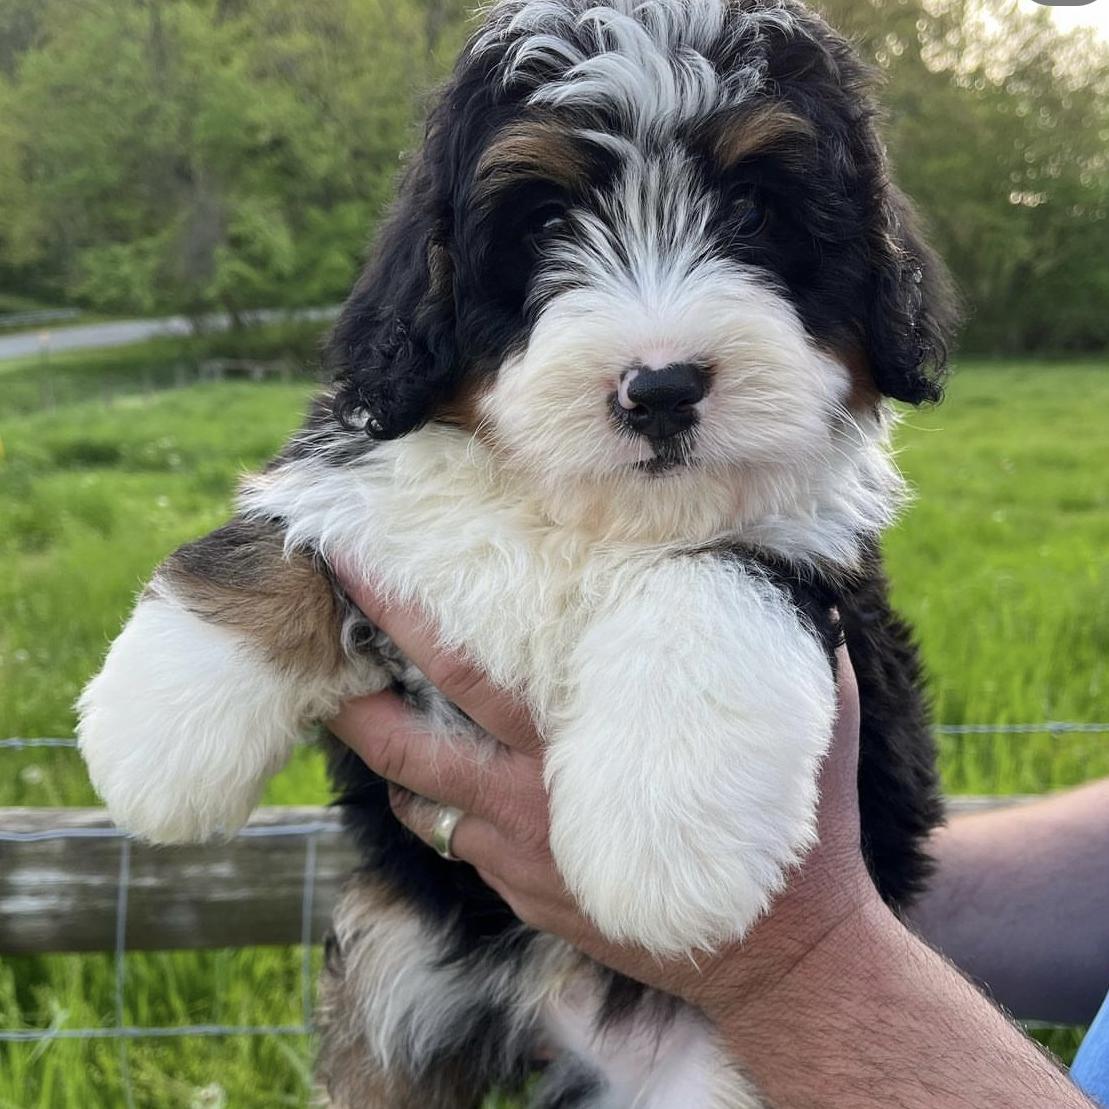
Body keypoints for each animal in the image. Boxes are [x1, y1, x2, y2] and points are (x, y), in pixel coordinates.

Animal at [82, 4, 958, 1104]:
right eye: (544, 222)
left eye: (755, 212)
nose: (659, 387)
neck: (582, 512)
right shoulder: (377, 477)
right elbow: (286, 530)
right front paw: (158, 727)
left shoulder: (824, 562)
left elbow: (714, 572)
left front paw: (662, 831)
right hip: (392, 981)